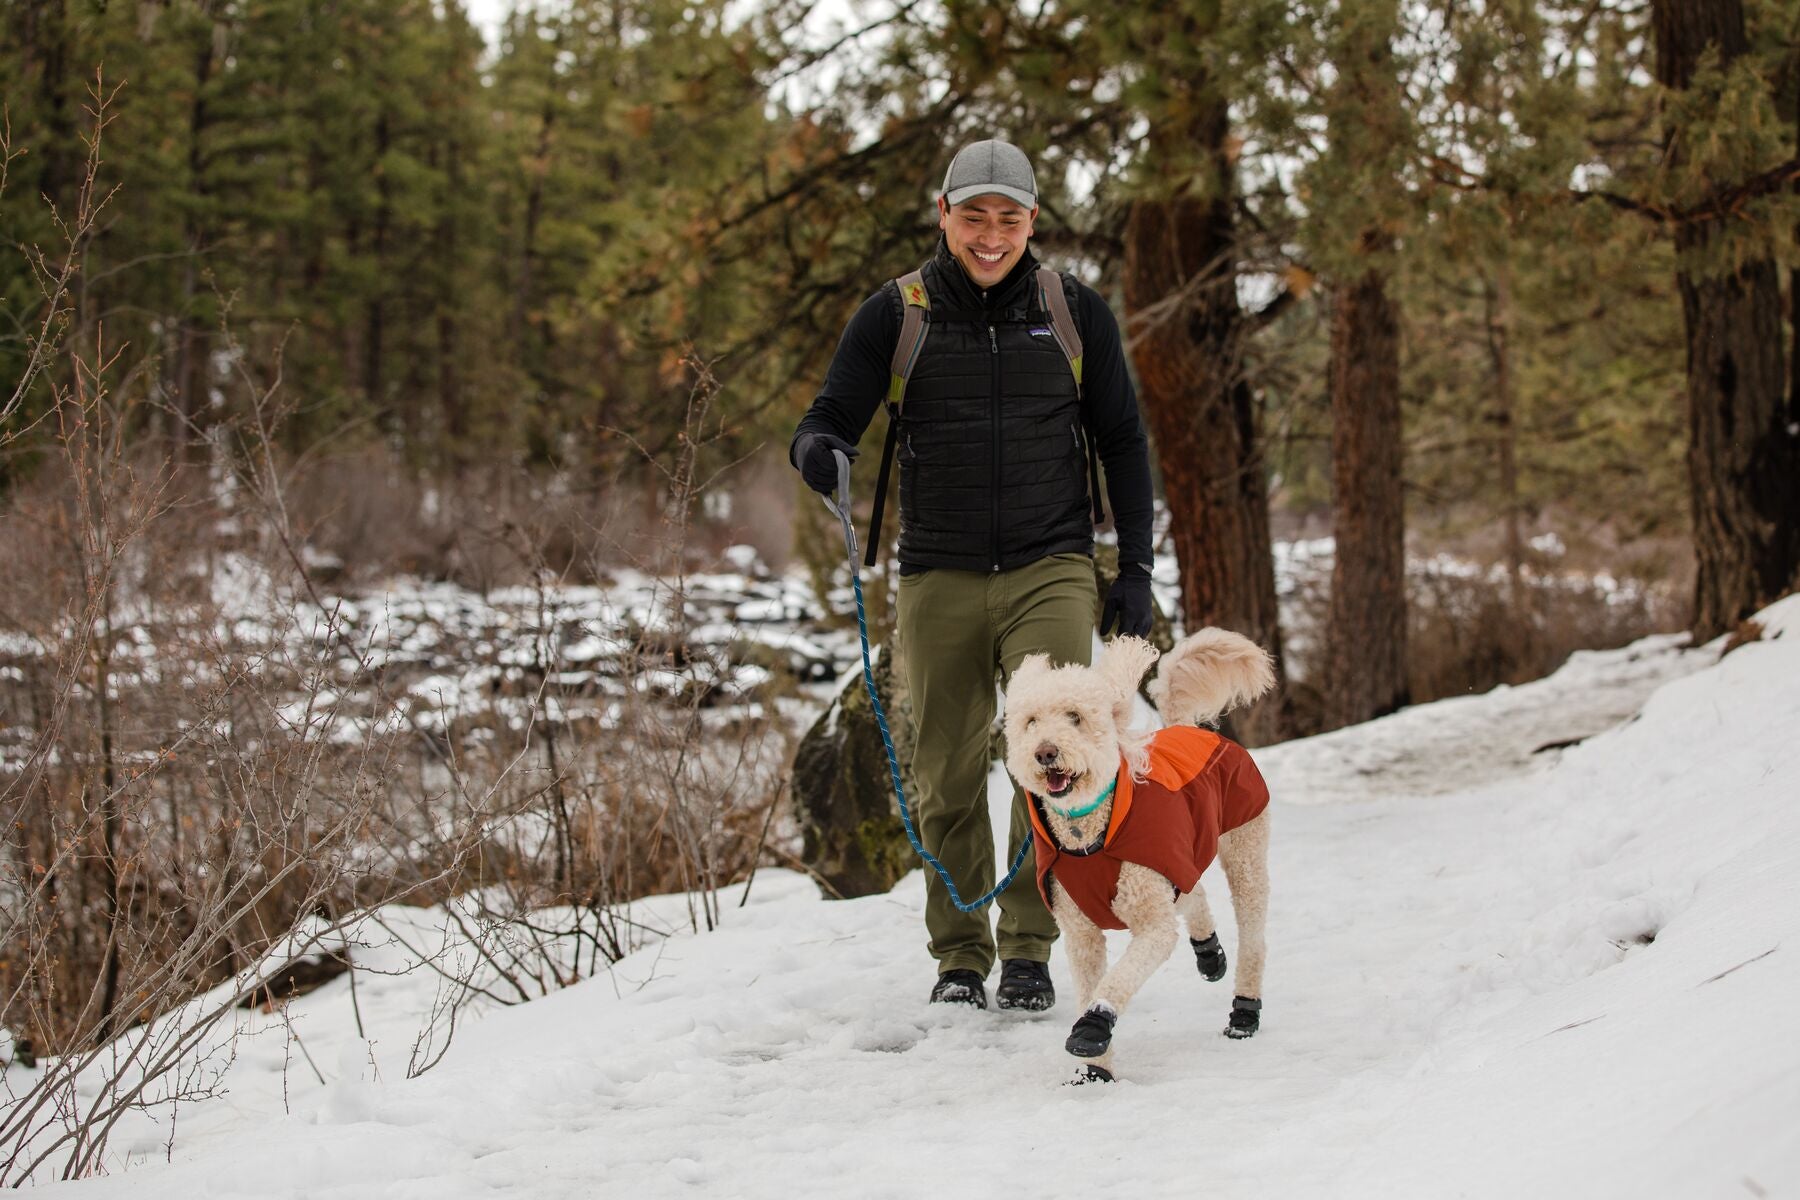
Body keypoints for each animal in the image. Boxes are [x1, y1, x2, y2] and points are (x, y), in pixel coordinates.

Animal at [1002, 630, 1277, 1083]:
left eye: (1075, 716)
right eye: (1031, 722)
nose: (1045, 752)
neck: (1086, 832)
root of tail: (1188, 727)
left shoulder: (1152, 924)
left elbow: (1118, 980)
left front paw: (1093, 1027)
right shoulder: (1081, 933)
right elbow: (1090, 983)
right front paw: (1094, 1072)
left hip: (1245, 851)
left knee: (1253, 937)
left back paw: (1244, 1013)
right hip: (1176, 860)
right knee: (1192, 892)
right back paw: (1209, 954)